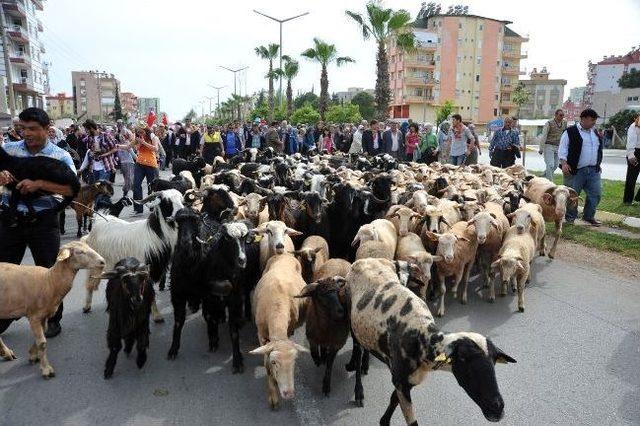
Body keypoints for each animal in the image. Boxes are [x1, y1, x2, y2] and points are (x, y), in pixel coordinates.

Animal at [0, 241, 106, 378]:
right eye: (79, 252)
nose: (102, 261)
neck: (49, 281)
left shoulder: (43, 315)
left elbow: (42, 335)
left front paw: (33, 355)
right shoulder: (33, 315)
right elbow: (42, 343)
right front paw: (46, 369)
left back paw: (6, 353)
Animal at [81, 188, 184, 322]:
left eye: (182, 200)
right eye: (166, 201)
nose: (182, 212)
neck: (154, 235)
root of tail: (99, 220)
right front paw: (157, 316)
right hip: (96, 264)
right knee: (90, 282)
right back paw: (86, 307)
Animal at [249, 253, 308, 410]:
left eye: (294, 361)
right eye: (274, 362)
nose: (289, 394)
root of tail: (285, 254)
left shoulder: (288, 327)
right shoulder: (261, 335)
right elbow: (266, 365)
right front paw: (273, 397)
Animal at [344, 256, 516, 422]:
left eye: (494, 361)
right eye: (463, 359)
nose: (497, 408)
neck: (422, 338)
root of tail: (364, 260)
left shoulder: (407, 381)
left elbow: (393, 400)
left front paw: (384, 420)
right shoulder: (400, 381)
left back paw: (366, 364)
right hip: (351, 320)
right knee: (357, 351)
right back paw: (359, 390)